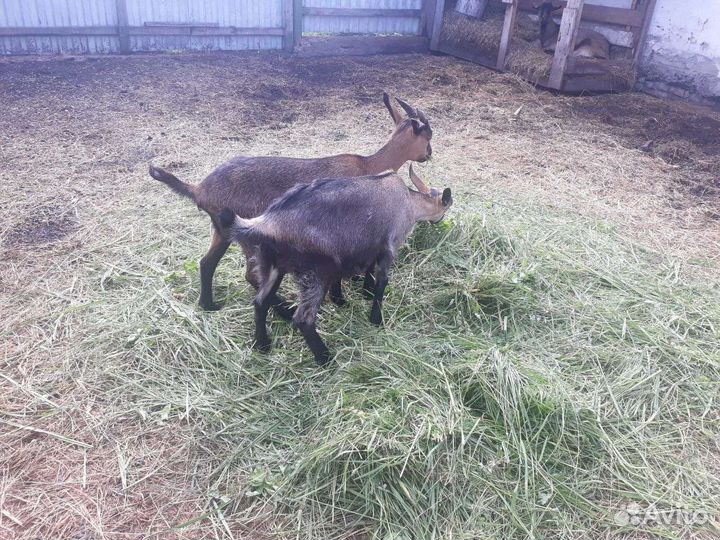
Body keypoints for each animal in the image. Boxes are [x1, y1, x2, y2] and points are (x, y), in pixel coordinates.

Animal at [149, 93, 432, 316]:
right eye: (428, 136)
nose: (429, 155)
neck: (368, 165)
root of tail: (199, 189)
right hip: (249, 237)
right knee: (251, 275)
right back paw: (283, 312)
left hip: (221, 230)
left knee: (206, 263)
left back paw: (209, 305)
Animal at [217, 166, 452, 366]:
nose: (438, 221)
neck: (409, 202)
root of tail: (266, 223)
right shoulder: (390, 245)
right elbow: (382, 281)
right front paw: (376, 318)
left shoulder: (366, 247)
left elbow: (365, 270)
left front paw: (352, 295)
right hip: (314, 274)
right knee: (303, 319)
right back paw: (325, 359)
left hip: (273, 266)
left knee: (260, 302)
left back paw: (263, 345)